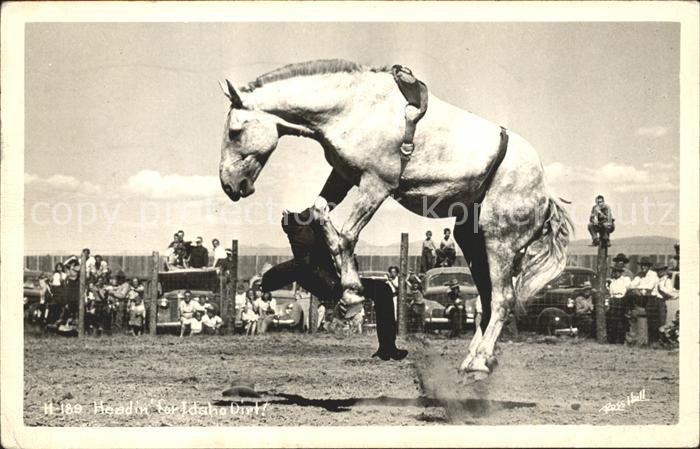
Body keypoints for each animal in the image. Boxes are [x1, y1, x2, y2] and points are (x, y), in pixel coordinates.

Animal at [218, 59, 572, 377]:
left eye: (235, 132)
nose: (229, 185)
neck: (354, 107)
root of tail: (545, 194)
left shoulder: (376, 184)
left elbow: (347, 235)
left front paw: (351, 295)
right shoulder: (343, 175)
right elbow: (320, 212)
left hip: (499, 242)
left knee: (502, 299)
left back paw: (479, 363)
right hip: (472, 240)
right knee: (486, 299)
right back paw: (473, 357)